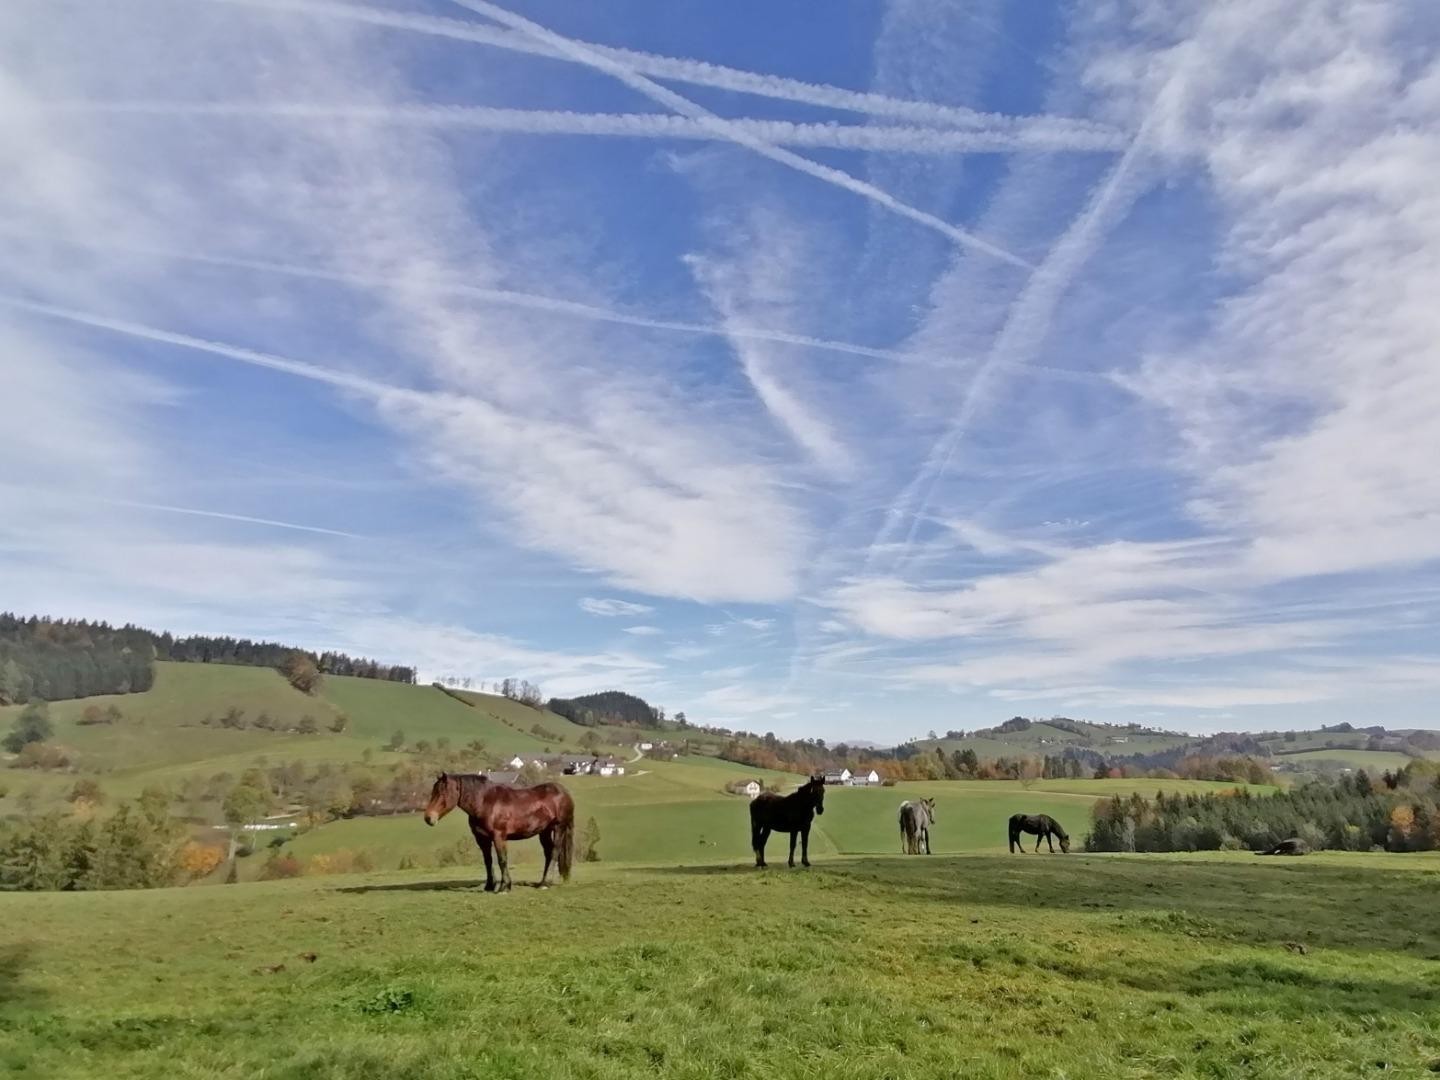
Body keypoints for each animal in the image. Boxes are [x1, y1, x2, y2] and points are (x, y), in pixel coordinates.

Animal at [422, 772, 574, 891]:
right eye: (433, 791)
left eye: (442, 792)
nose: (428, 818)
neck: (485, 803)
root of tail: (564, 792)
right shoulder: (482, 839)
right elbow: (488, 861)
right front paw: (490, 886)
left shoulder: (499, 836)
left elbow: (502, 860)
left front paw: (504, 886)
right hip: (544, 831)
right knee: (548, 853)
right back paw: (542, 882)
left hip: (559, 827)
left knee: (554, 851)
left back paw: (545, 884)